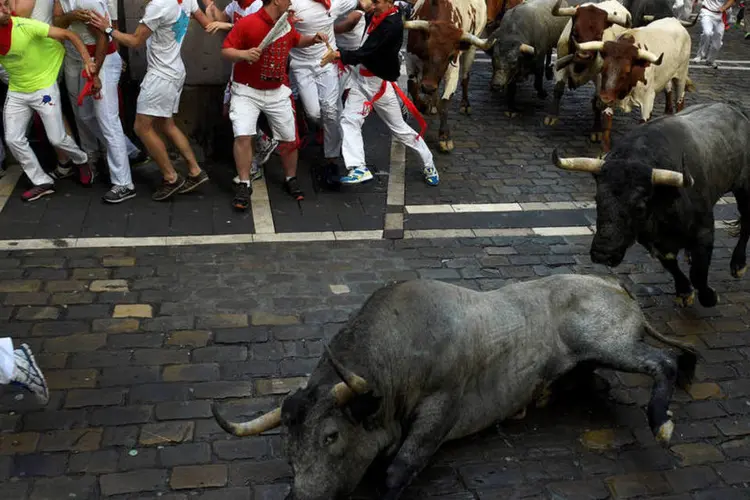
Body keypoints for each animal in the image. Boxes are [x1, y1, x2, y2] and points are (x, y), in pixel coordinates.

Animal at [214, 276, 696, 498]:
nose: (301, 497)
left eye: (331, 436)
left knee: (664, 362)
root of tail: (618, 287)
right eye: (287, 445)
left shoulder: (442, 406)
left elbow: (399, 467)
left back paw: (663, 418)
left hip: (606, 340)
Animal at [552, 101, 750, 306]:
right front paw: (684, 292)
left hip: (745, 189)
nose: (602, 254)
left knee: (746, 222)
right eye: (597, 199)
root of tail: (736, 111)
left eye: (639, 207)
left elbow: (698, 273)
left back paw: (738, 264)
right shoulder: (650, 240)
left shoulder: (704, 232)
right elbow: (670, 264)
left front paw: (709, 297)